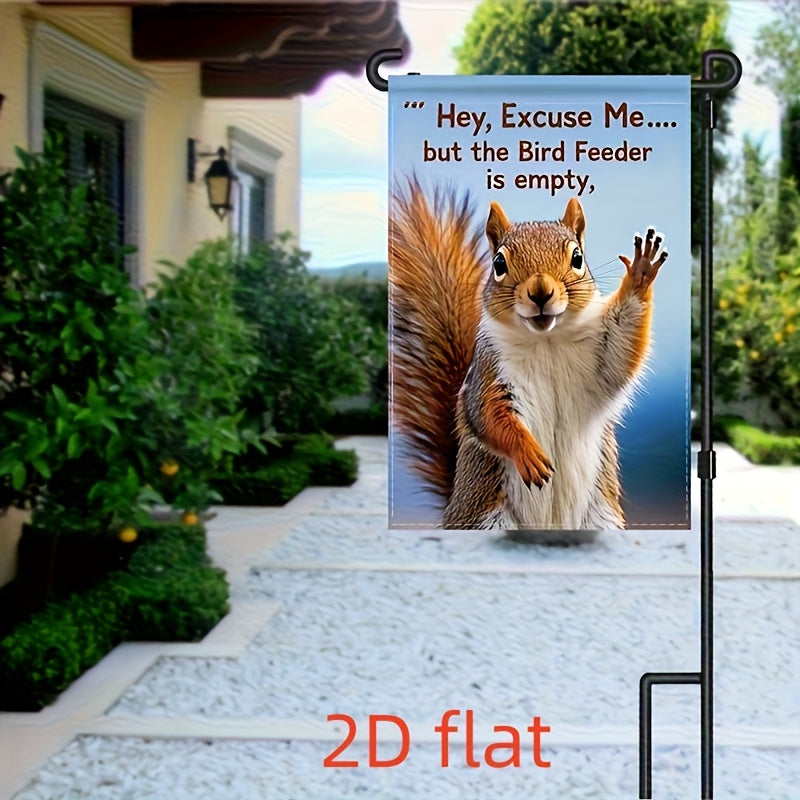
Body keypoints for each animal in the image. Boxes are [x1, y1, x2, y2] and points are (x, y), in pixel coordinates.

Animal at [389, 178, 667, 530]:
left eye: (578, 258)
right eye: (498, 263)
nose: (540, 292)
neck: (545, 341)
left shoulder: (599, 360)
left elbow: (620, 352)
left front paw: (640, 274)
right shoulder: (489, 373)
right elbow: (490, 416)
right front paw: (529, 455)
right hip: (488, 519)